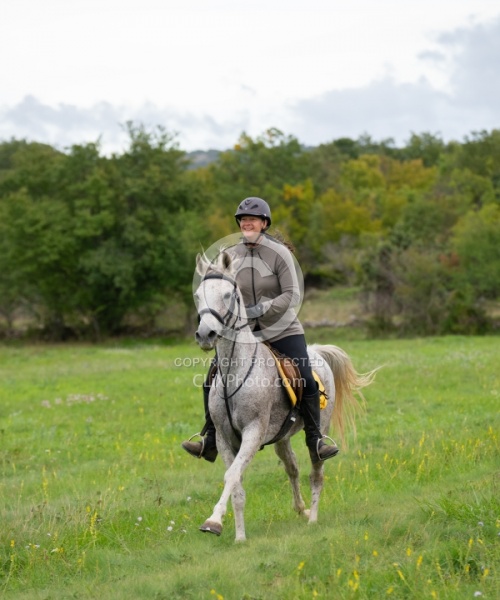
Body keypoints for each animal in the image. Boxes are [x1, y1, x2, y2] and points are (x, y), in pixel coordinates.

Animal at [191, 251, 376, 540]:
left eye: (228, 295)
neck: (235, 370)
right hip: (281, 437)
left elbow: (232, 476)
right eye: (198, 295)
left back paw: (313, 519)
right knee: (292, 467)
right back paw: (301, 509)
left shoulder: (253, 432)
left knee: (316, 470)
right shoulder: (223, 437)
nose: (205, 334)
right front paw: (239, 537)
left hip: (319, 430)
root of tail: (317, 351)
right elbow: (237, 483)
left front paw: (214, 521)